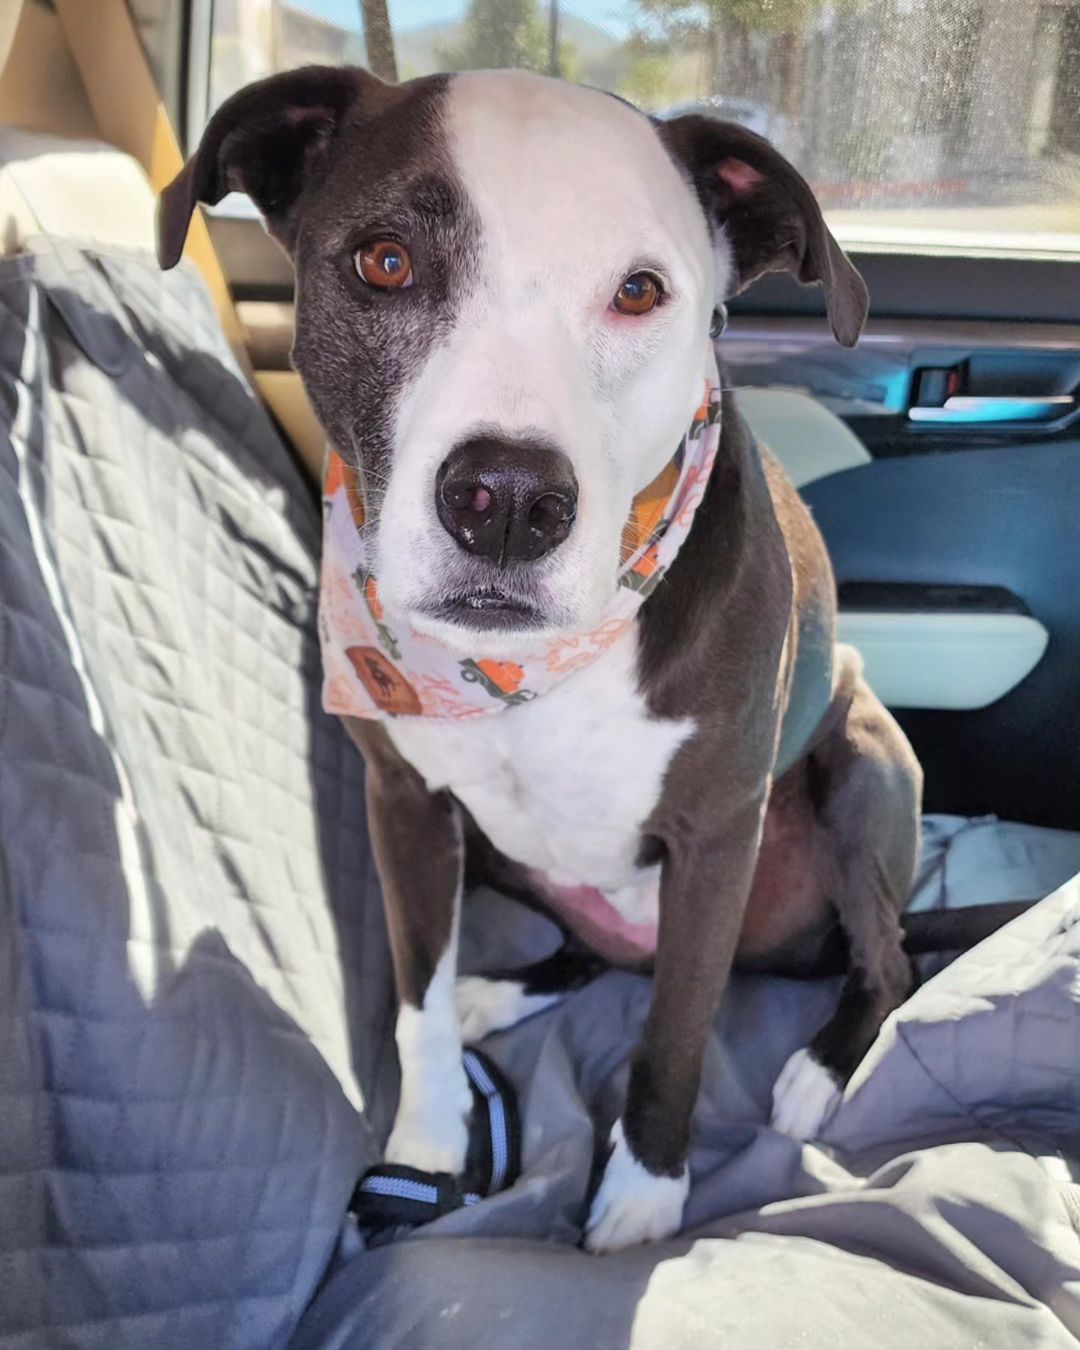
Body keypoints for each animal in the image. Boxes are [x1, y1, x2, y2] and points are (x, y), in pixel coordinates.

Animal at [157, 68, 918, 1252]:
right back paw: (508, 990)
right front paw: (426, 1151)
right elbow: (417, 1011)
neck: (521, 674)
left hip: (862, 770)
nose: (507, 500)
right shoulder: (405, 805)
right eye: (385, 261)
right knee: (594, 948)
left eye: (642, 291)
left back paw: (816, 1071)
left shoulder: (715, 838)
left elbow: (676, 1032)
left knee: (888, 957)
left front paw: (644, 1197)